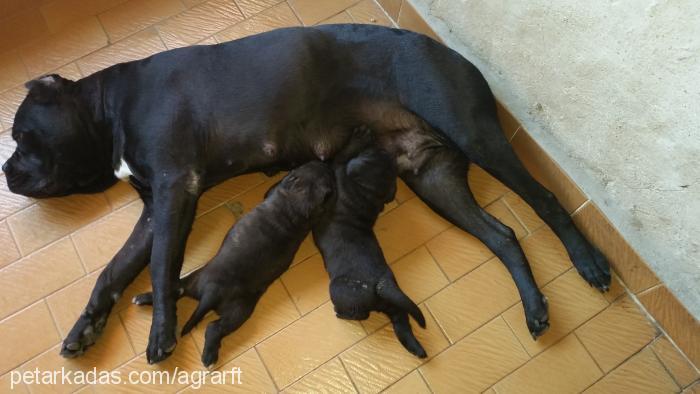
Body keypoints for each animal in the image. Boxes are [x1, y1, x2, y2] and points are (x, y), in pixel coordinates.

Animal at [135, 160, 336, 366]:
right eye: (326, 177)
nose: (322, 162)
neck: (297, 202)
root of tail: (211, 294)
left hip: (234, 307)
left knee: (208, 322)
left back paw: (208, 356)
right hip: (233, 307)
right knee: (186, 298)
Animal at [314, 127, 430, 360]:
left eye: (374, 151)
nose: (377, 139)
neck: (364, 194)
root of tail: (382, 286)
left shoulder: (338, 169)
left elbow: (341, 156)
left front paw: (360, 134)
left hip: (339, 290)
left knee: (360, 314)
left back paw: (340, 314)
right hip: (397, 307)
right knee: (402, 324)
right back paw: (417, 349)